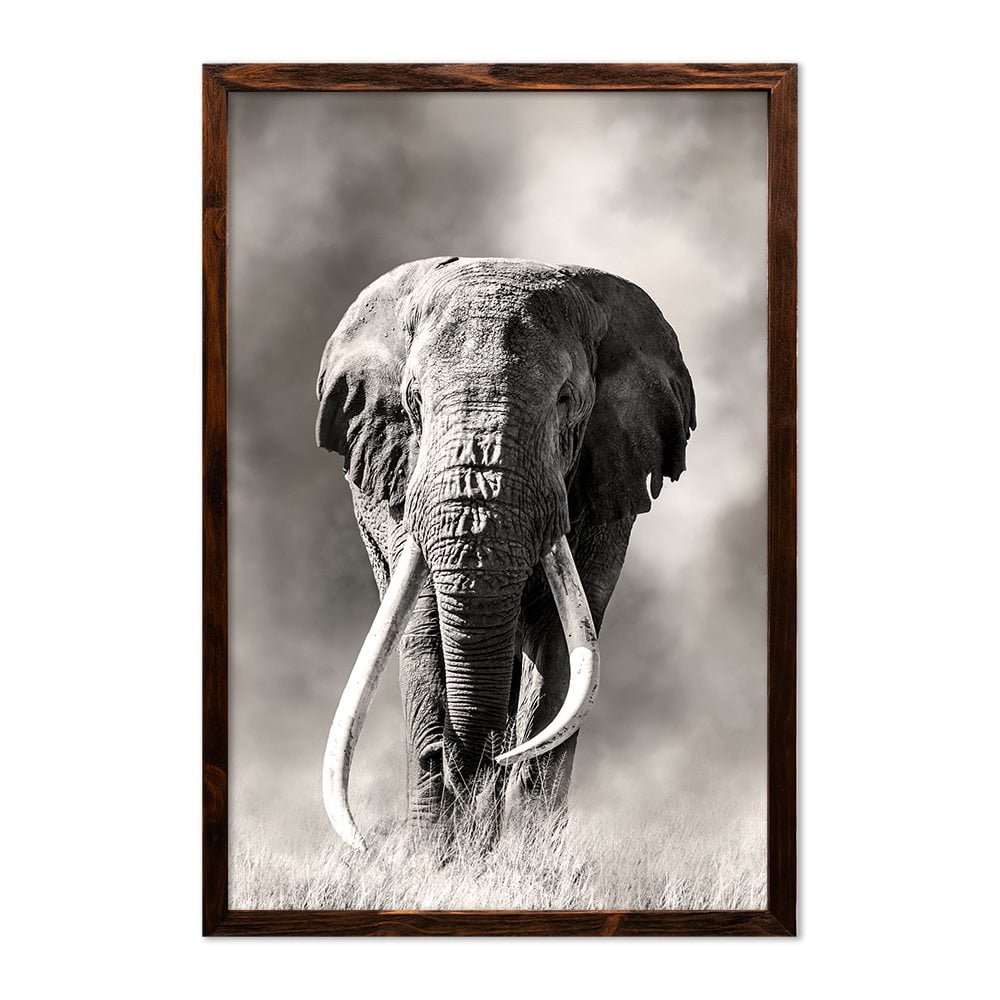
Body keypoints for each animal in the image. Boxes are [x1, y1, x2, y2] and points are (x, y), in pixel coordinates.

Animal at [316, 256, 695, 850]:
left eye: (566, 401)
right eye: (414, 403)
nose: (463, 760)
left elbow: (564, 645)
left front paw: (526, 851)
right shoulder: (402, 478)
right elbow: (423, 627)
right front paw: (433, 853)